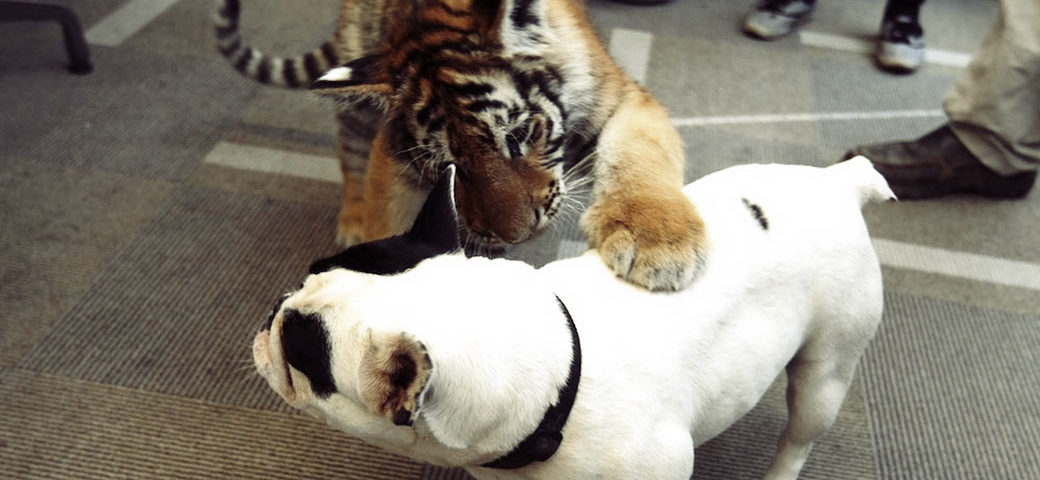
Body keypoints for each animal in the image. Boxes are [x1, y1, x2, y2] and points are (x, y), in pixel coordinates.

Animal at [214, 0, 708, 292]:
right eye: (451, 167)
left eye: (517, 136)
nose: (515, 235)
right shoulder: (394, 150)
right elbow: (387, 213)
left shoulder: (623, 98)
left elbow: (639, 154)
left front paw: (657, 242)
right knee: (349, 149)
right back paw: (352, 218)